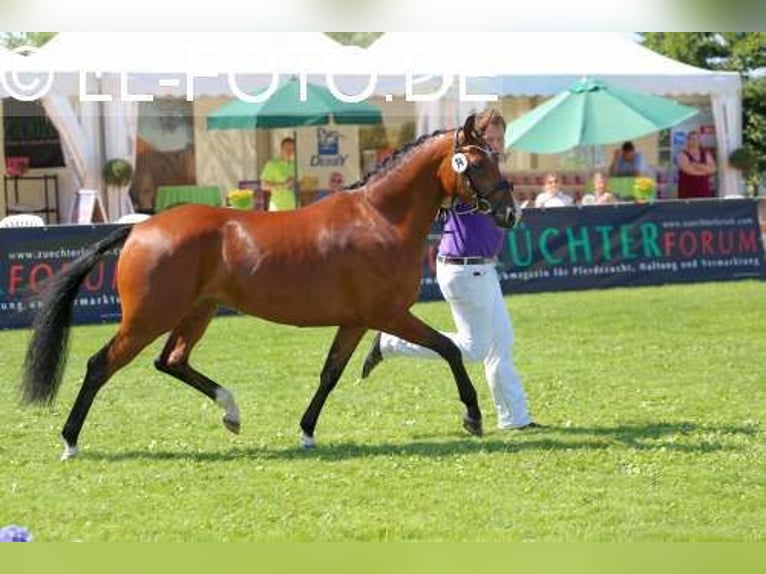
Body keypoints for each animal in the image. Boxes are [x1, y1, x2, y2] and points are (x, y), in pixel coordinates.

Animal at [21, 113, 519, 460]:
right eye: (476, 162)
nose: (510, 213)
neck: (379, 218)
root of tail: (140, 228)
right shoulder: (389, 314)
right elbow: (448, 348)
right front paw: (473, 416)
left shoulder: (356, 321)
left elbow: (330, 374)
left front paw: (306, 431)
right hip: (148, 317)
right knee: (99, 365)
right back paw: (70, 442)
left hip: (197, 311)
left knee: (171, 360)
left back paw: (231, 411)